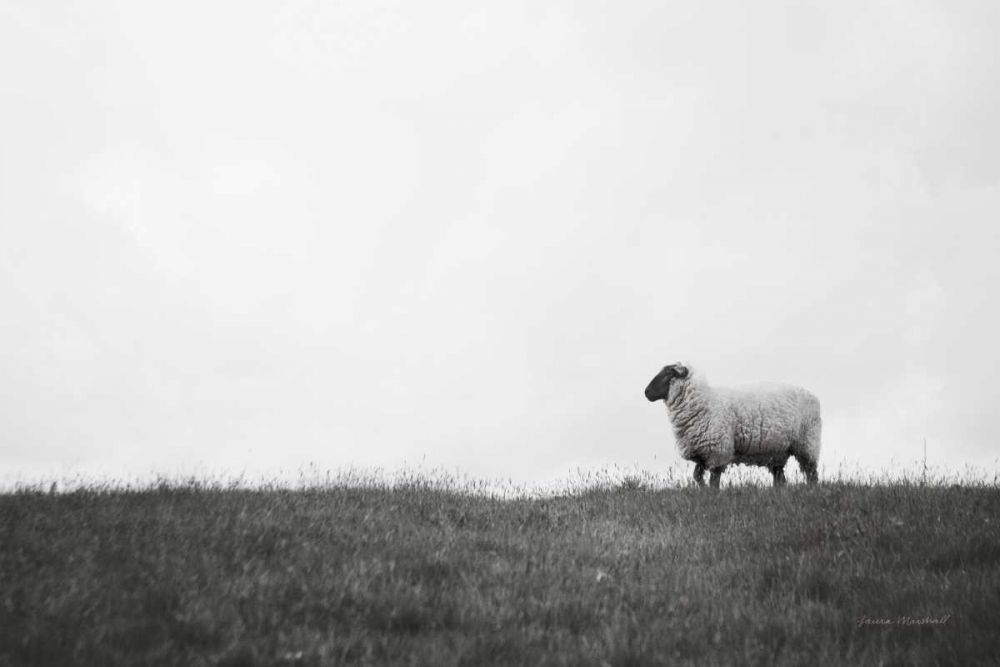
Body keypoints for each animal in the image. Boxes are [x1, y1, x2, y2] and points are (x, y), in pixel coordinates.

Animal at [644, 362, 821, 488]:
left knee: (812, 473)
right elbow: (697, 476)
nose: (646, 392)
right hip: (777, 452)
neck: (705, 402)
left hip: (807, 444)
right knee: (780, 479)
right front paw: (702, 490)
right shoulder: (702, 453)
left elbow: (714, 481)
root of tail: (813, 396)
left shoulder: (718, 451)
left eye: (668, 373)